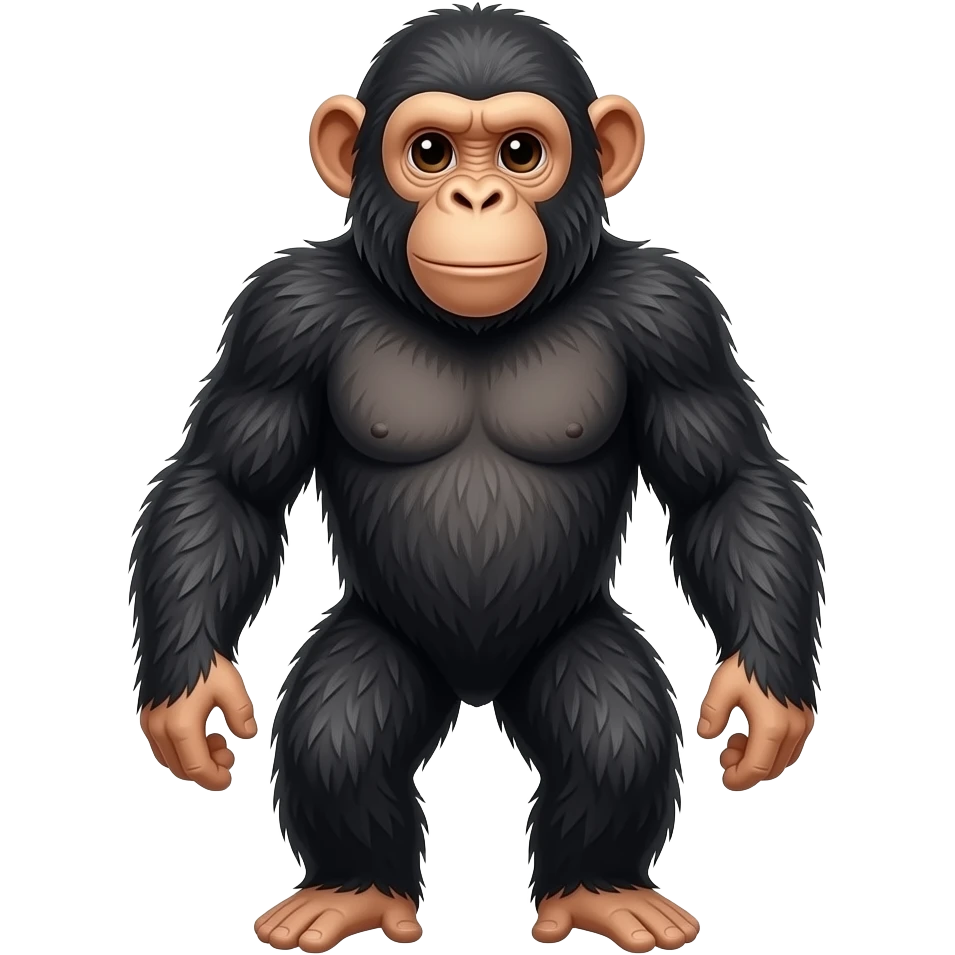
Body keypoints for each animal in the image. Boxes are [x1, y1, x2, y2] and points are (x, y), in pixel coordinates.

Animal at [130, 4, 824, 953]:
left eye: (520, 152)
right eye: (429, 152)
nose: (476, 199)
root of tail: (476, 689)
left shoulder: (672, 313)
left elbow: (724, 487)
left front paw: (763, 692)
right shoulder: (281, 313)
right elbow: (228, 487)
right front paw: (189, 692)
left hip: (568, 641)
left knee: (613, 730)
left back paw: (601, 888)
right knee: (340, 731)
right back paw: (352, 889)